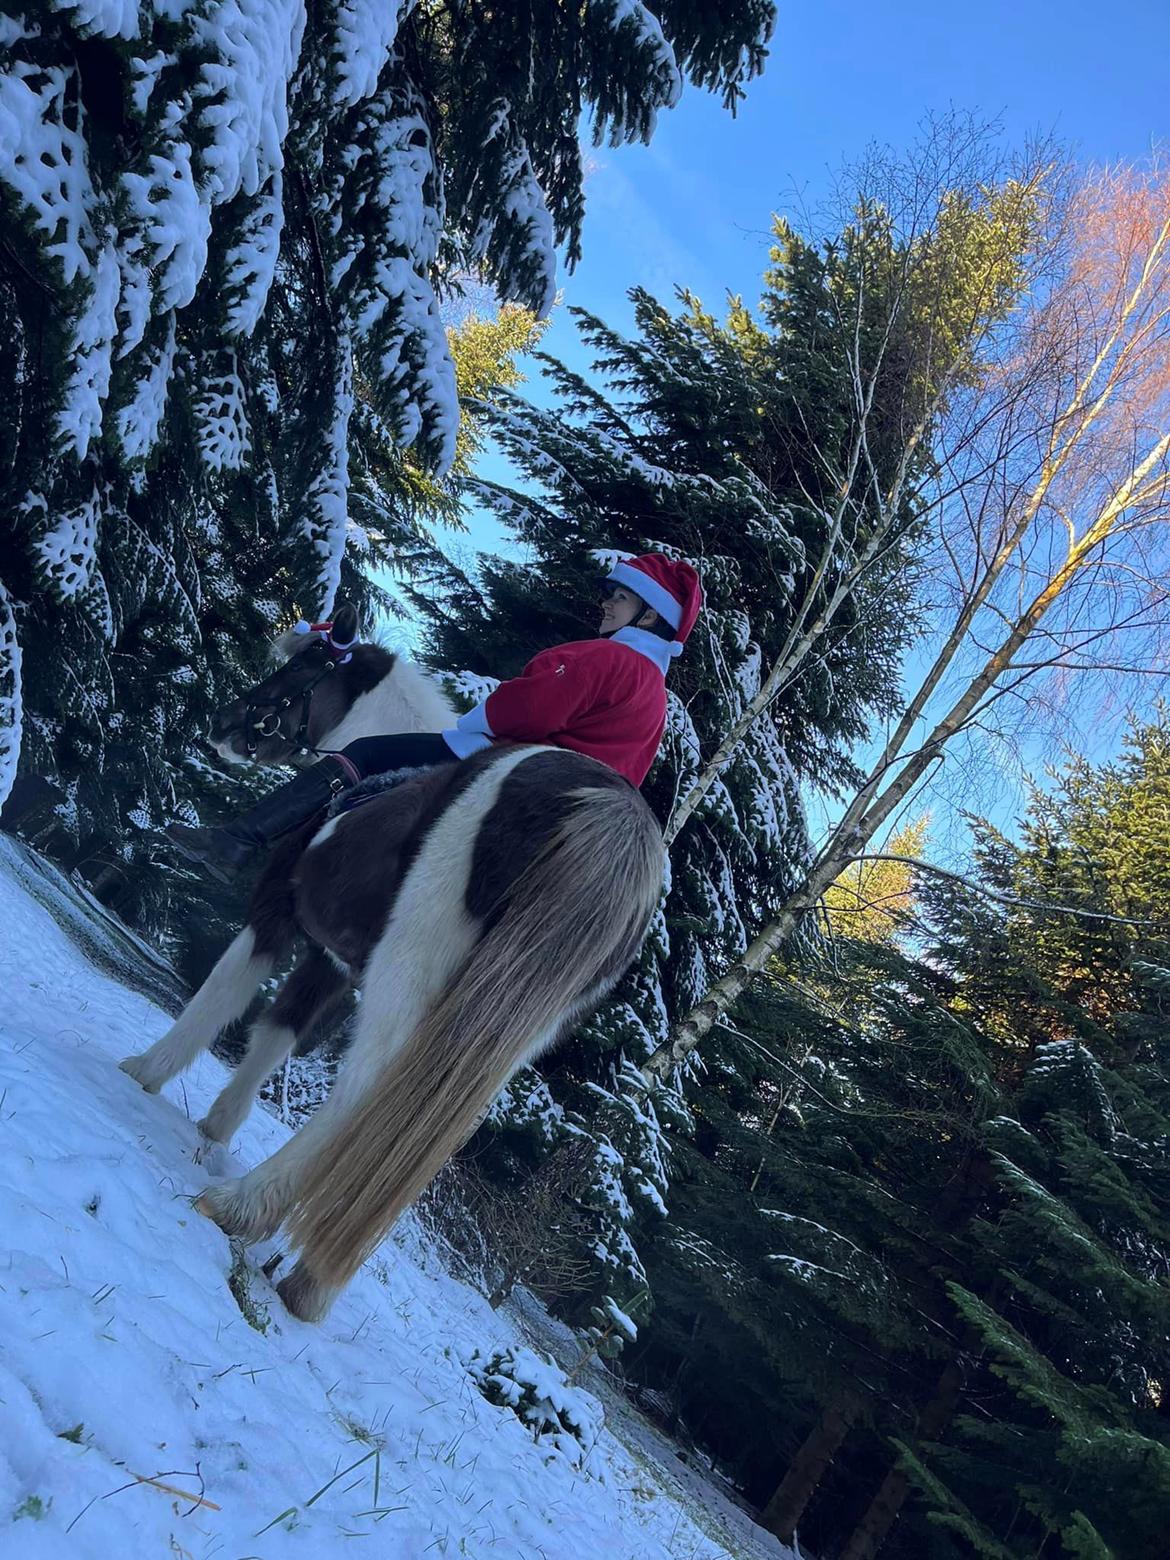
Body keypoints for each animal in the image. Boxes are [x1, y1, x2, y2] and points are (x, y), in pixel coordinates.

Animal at [124, 605, 667, 1316]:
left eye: (306, 666)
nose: (225, 724)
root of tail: (615, 824)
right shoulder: (333, 964)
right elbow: (276, 1034)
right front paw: (217, 1127)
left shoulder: (279, 914)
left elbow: (221, 996)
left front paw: (146, 1072)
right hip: (493, 1036)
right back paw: (305, 1275)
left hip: (409, 973)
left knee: (364, 1088)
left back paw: (245, 1207)